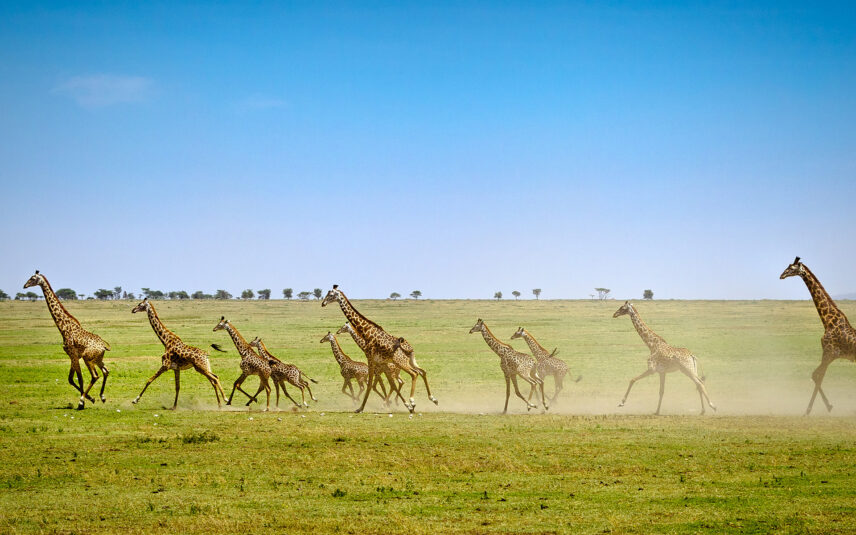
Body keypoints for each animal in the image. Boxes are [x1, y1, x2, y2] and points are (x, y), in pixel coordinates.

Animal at [23, 270, 110, 410]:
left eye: (32, 278)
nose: (25, 285)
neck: (63, 328)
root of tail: (103, 346)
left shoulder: (74, 354)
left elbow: (79, 378)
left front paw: (83, 402)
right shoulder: (72, 356)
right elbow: (70, 379)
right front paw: (90, 398)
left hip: (88, 358)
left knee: (95, 375)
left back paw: (83, 400)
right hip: (97, 359)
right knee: (106, 372)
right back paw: (102, 397)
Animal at [321, 285, 420, 413]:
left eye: (331, 294)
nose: (323, 303)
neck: (366, 332)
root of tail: (410, 349)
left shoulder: (370, 358)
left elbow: (370, 385)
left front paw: (360, 408)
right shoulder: (381, 363)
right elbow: (387, 385)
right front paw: (405, 405)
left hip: (400, 362)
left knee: (415, 374)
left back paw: (413, 401)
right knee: (412, 375)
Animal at [780, 256, 856, 415]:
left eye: (791, 268)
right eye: (787, 266)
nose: (781, 275)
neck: (828, 321)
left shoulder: (829, 353)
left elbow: (816, 376)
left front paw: (809, 410)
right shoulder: (828, 355)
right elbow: (816, 376)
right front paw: (828, 406)